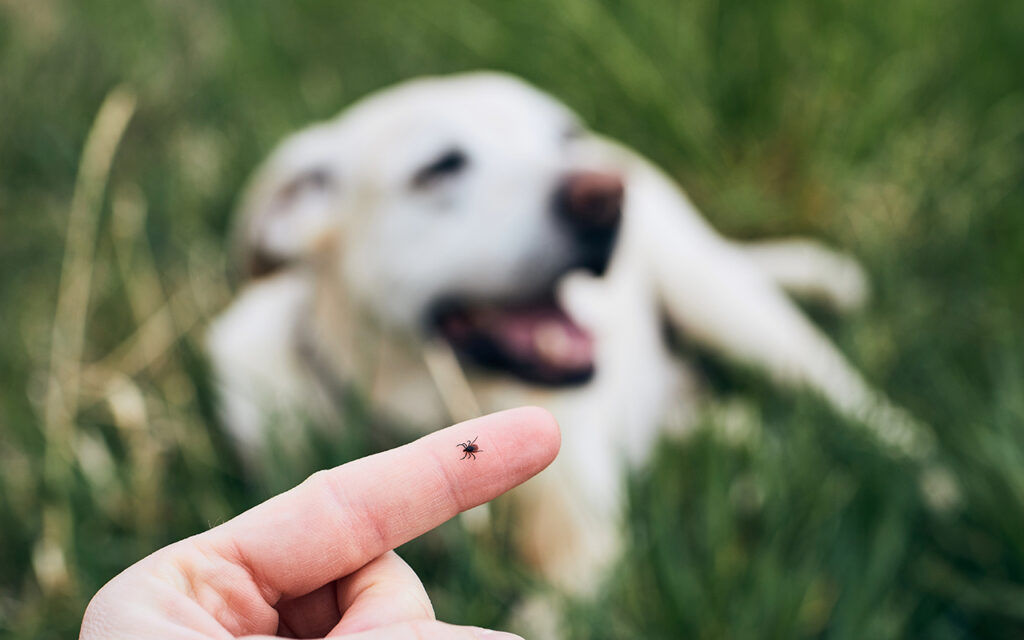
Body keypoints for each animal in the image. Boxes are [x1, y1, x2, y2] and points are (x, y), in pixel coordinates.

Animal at [203, 72, 933, 598]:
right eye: (439, 168)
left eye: (563, 137)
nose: (606, 196)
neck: (428, 405)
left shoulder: (585, 551)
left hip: (728, 307)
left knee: (857, 404)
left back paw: (932, 483)